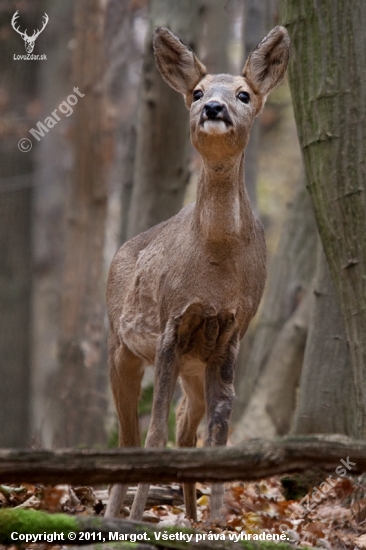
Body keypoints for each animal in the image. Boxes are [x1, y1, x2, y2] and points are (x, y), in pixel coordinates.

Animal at [105, 25, 288, 524]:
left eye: (244, 94)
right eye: (197, 91)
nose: (213, 108)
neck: (217, 265)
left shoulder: (231, 332)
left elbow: (217, 435)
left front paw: (216, 523)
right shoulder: (172, 322)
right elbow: (154, 436)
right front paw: (137, 521)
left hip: (193, 366)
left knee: (187, 430)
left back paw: (187, 514)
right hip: (120, 346)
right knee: (129, 439)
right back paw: (115, 516)